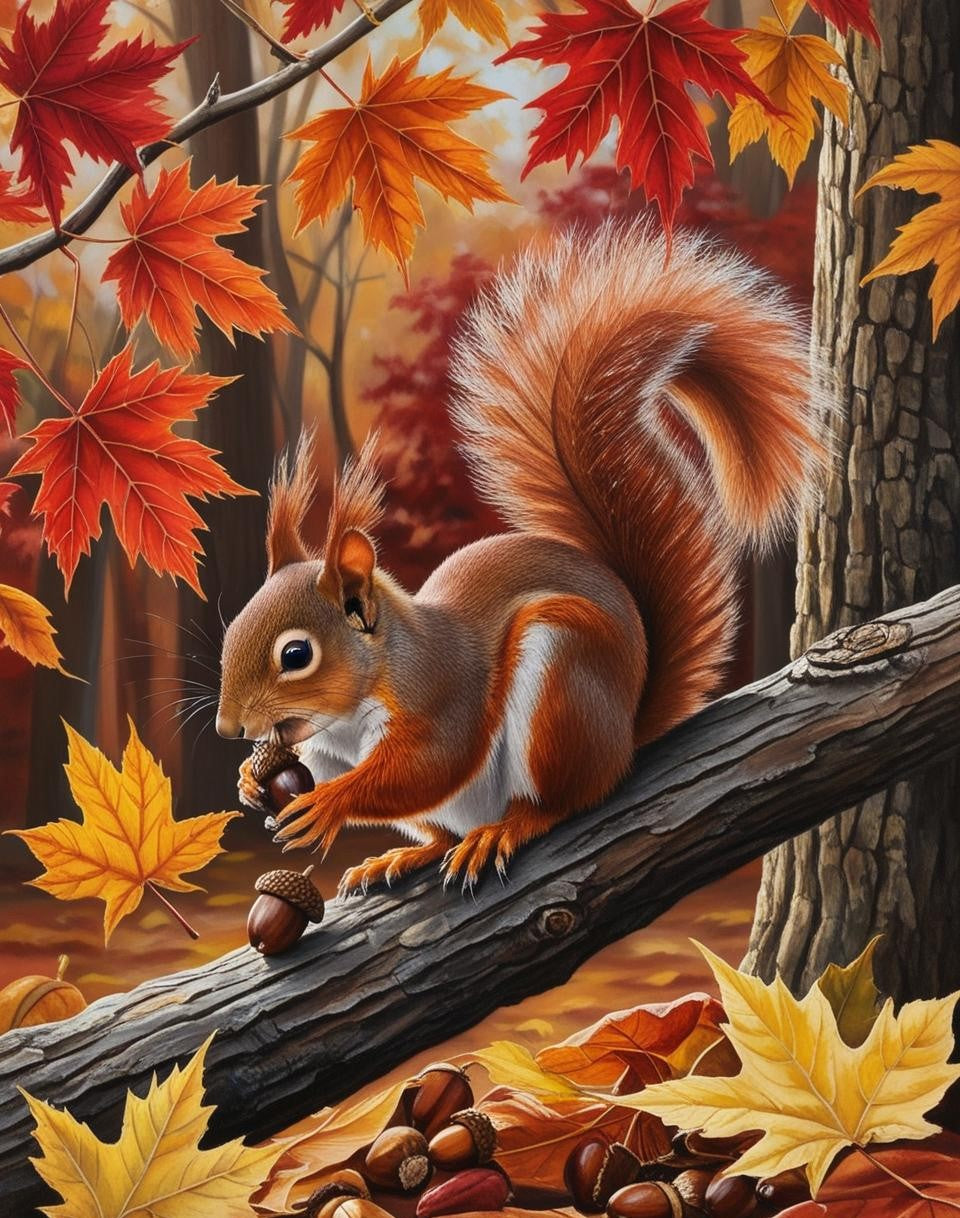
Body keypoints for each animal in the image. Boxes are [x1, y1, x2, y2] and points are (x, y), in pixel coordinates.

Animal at [216, 221, 826, 894]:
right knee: (439, 829)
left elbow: (430, 764)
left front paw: (333, 802)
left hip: (562, 679)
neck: (349, 710)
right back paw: (399, 856)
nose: (228, 729)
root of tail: (623, 734)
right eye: (231, 631)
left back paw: (507, 828)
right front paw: (250, 778)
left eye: (296, 655)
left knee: (562, 800)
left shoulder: (442, 692)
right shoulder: (327, 747)